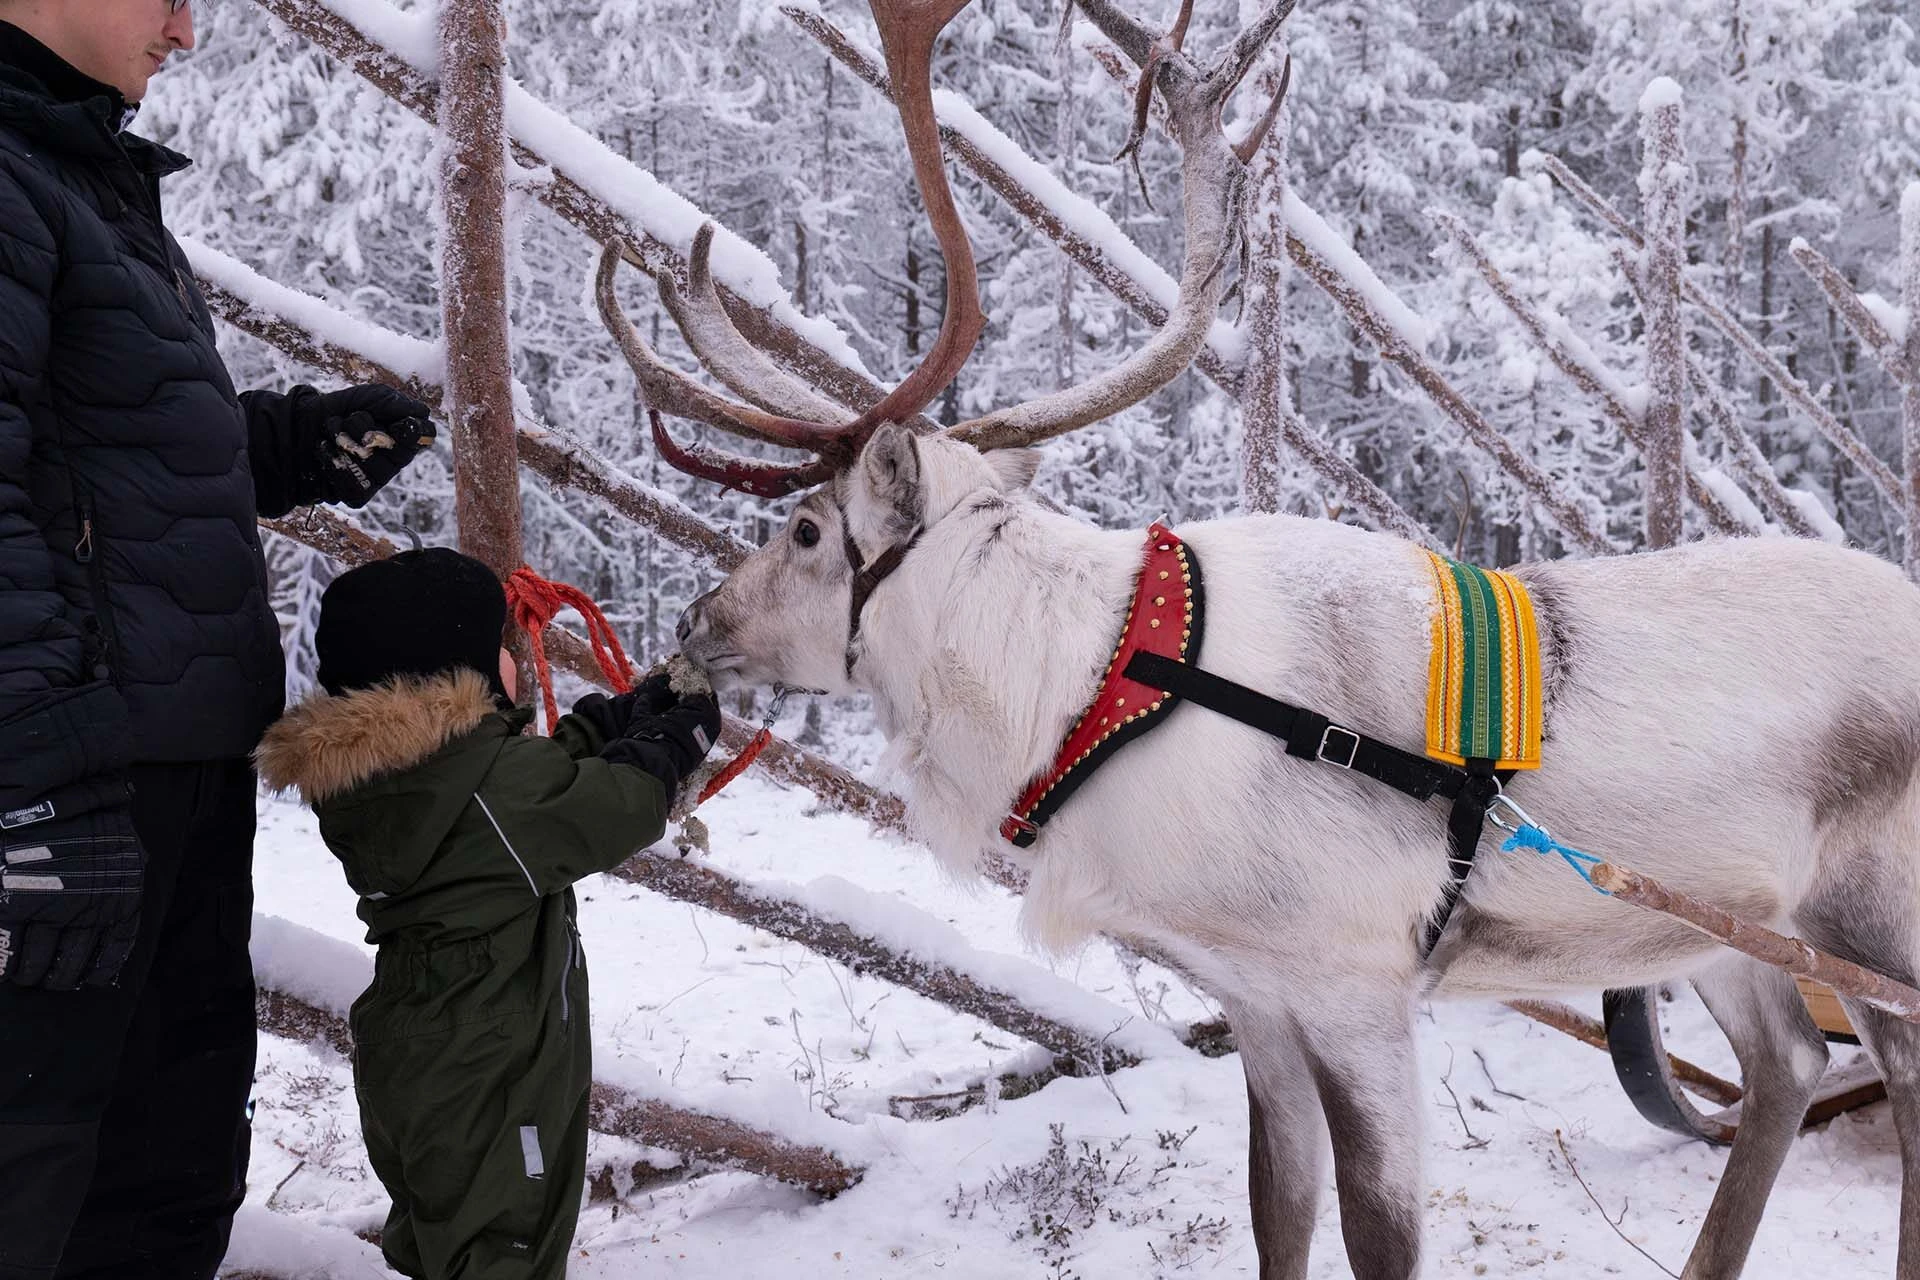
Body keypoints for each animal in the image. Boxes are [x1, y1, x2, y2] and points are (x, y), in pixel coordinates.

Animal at [594, 2, 1920, 1276]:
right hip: (1713, 926)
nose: (694, 620)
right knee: (1791, 1061)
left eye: (806, 528)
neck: (1090, 685)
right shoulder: (1255, 994)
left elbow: (1378, 1232)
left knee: (1891, 1080)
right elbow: (1276, 1208)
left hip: (1870, 908)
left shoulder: (1353, 984)